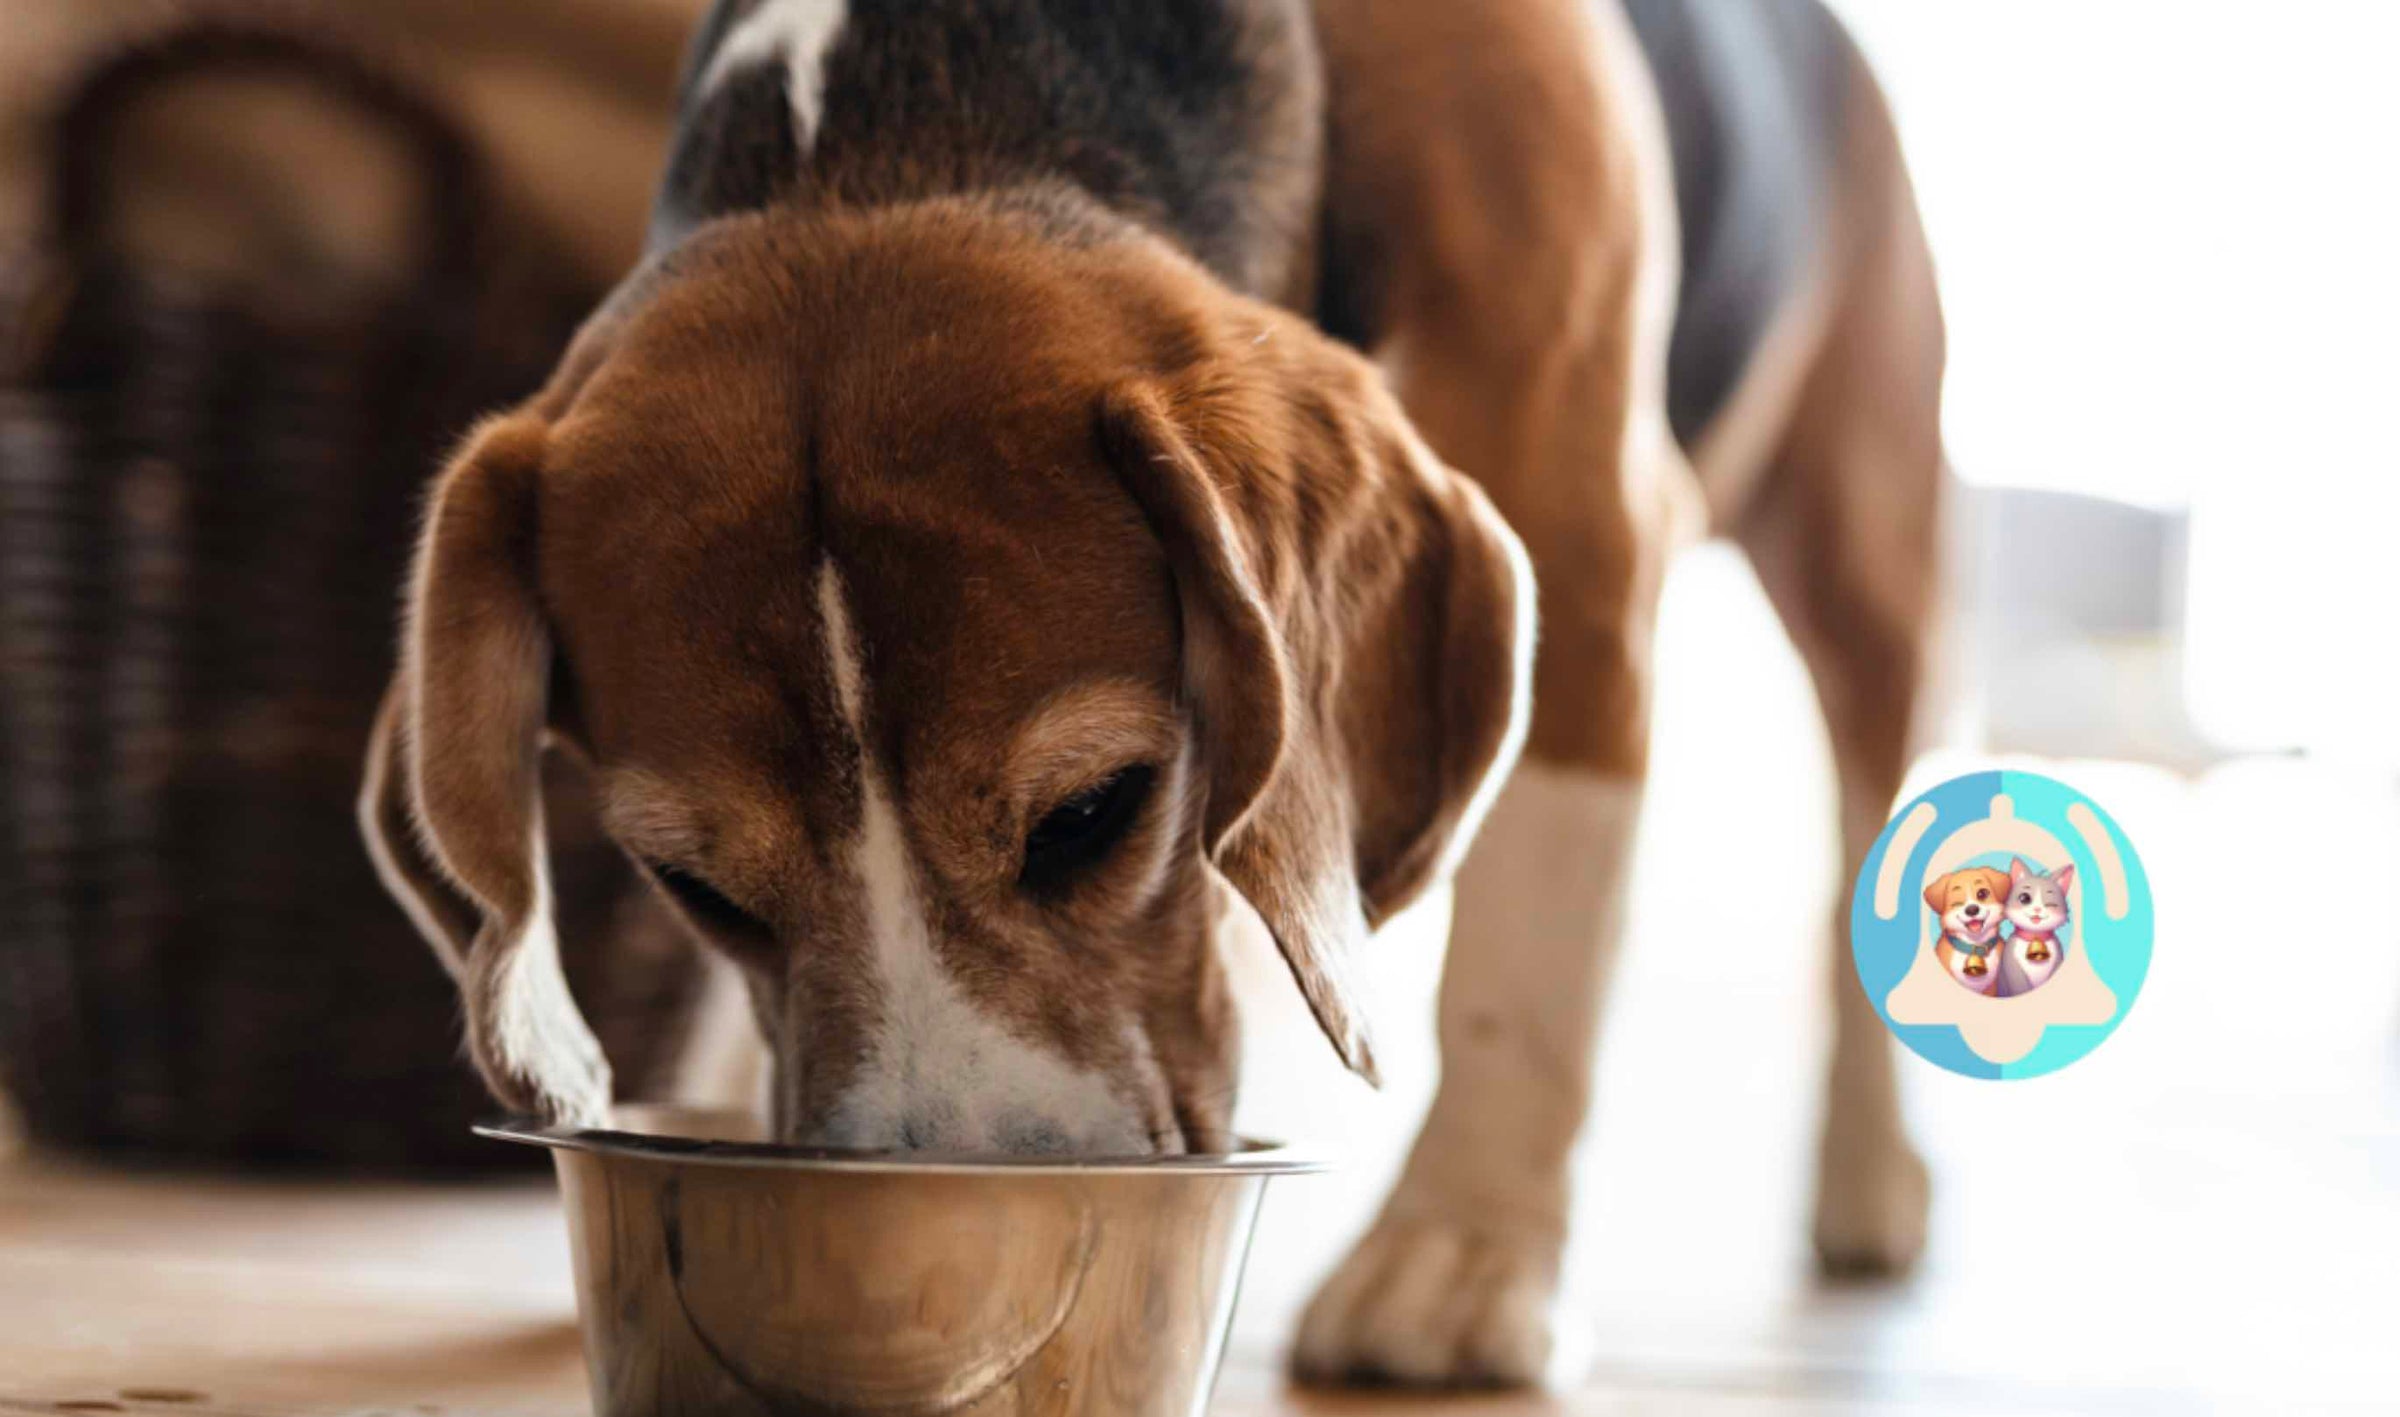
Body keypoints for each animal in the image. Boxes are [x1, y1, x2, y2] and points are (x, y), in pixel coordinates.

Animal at [360, 0, 1948, 1392]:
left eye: (1092, 812)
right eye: (696, 889)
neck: (906, 131)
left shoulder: (1587, 533)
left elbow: (1526, 975)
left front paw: (1462, 1265)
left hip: (1865, 549)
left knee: (1881, 795)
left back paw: (1874, 1177)